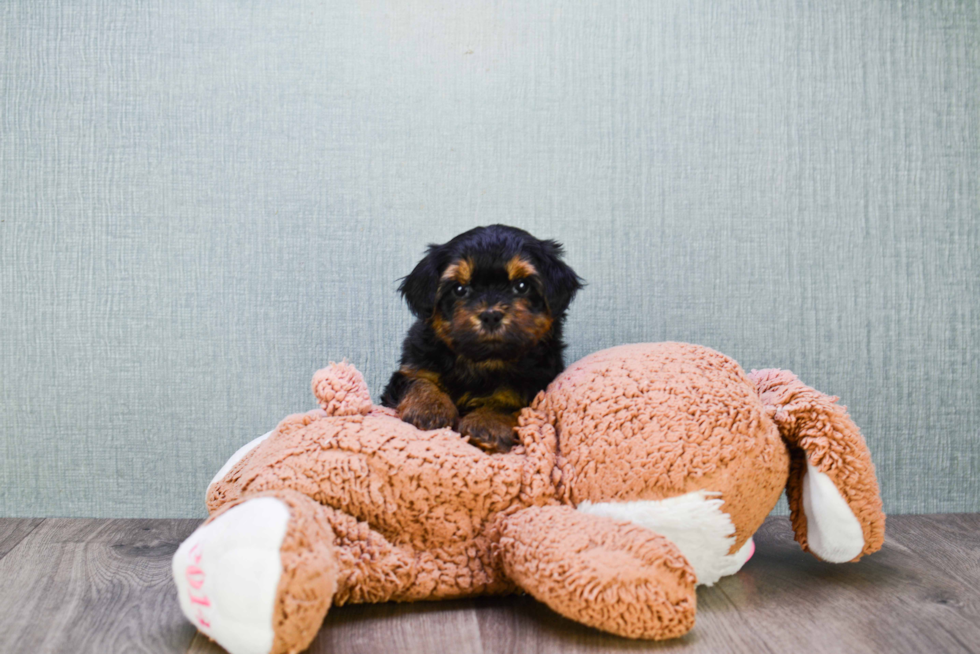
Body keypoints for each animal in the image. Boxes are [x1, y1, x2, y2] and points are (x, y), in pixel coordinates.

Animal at [380, 224, 580, 452]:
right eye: (459, 289)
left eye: (521, 286)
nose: (490, 315)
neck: (483, 361)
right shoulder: (413, 366)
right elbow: (418, 380)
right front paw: (429, 407)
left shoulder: (534, 384)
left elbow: (509, 400)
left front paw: (486, 424)